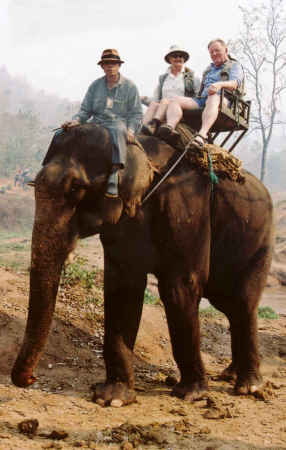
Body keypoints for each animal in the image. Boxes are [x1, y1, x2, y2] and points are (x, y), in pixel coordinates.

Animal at [11, 123, 274, 408]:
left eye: (75, 188)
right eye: (34, 185)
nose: (31, 379)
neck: (139, 148)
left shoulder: (187, 211)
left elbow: (180, 288)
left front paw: (191, 395)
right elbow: (123, 289)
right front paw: (111, 398)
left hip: (261, 241)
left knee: (242, 301)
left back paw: (249, 387)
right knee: (227, 303)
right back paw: (230, 375)